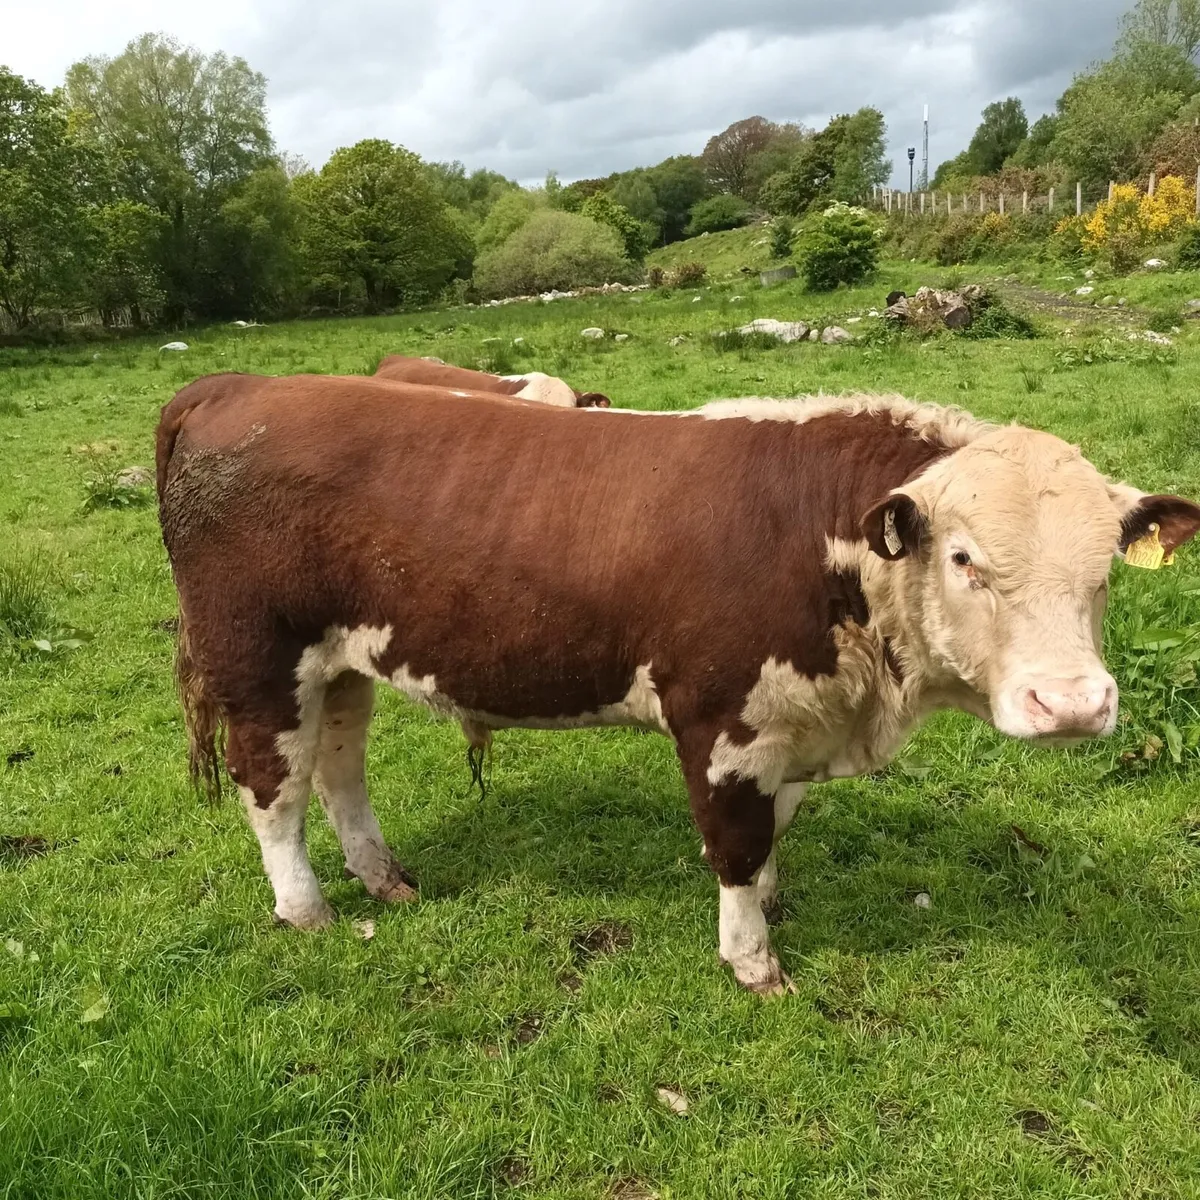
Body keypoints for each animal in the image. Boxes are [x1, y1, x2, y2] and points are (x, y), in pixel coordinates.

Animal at [155, 376, 1200, 994]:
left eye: (1106, 572)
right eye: (964, 557)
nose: (1072, 705)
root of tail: (239, 385)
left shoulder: (790, 722)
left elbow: (774, 833)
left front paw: (772, 901)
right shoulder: (722, 723)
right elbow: (735, 845)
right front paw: (753, 958)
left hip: (340, 663)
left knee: (339, 767)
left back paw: (383, 876)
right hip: (259, 658)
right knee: (273, 790)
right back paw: (307, 908)